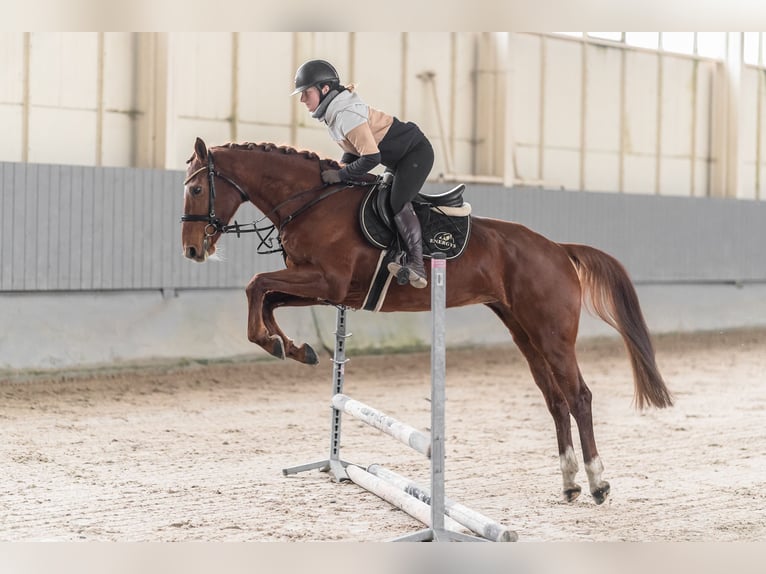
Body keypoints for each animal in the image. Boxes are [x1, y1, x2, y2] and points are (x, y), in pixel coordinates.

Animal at [180, 137, 672, 506]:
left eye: (197, 190)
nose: (192, 250)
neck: (312, 203)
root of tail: (557, 248)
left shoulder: (327, 282)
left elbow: (256, 285)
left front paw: (282, 343)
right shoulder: (321, 289)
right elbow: (263, 296)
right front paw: (293, 347)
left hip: (551, 334)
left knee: (579, 397)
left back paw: (597, 484)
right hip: (524, 333)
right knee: (555, 401)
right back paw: (569, 484)